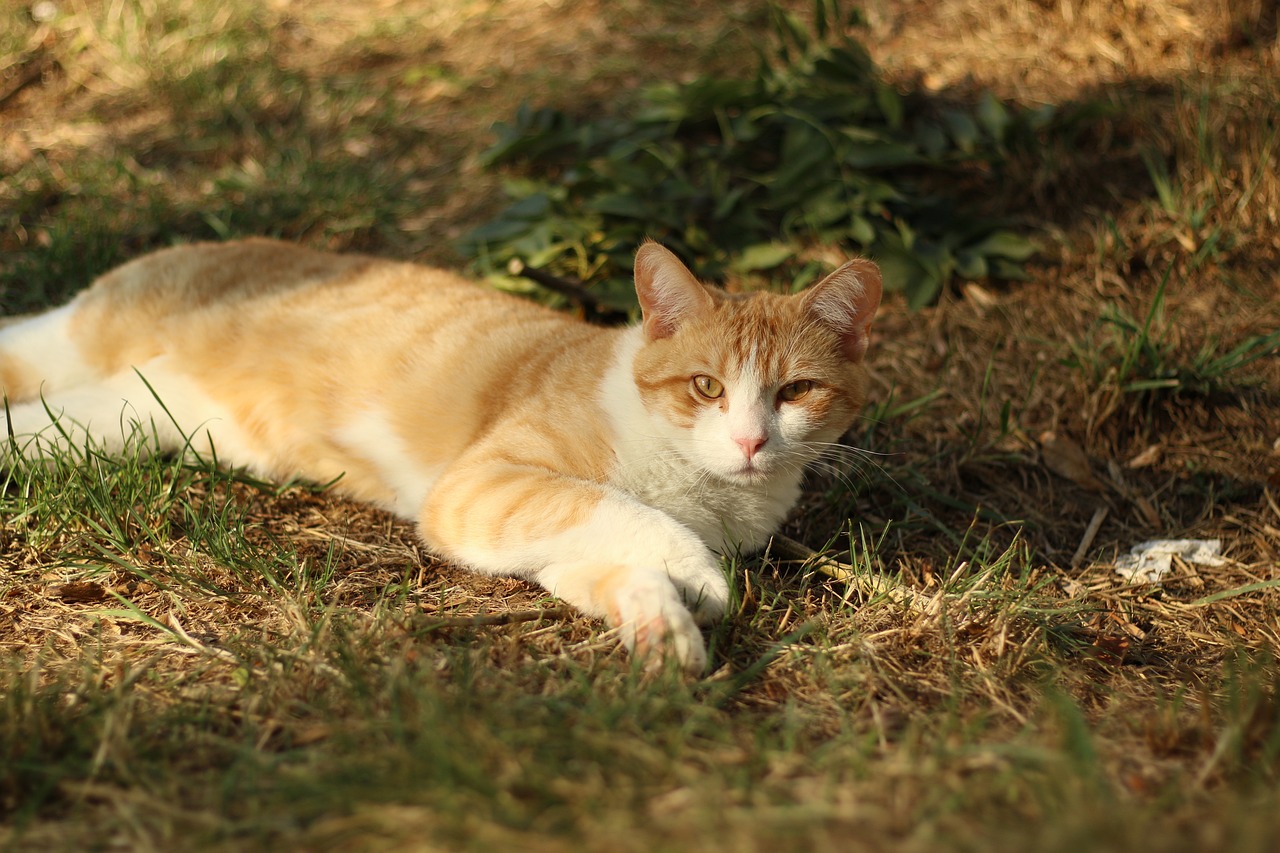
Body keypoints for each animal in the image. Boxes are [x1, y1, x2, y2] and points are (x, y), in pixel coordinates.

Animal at [2, 239, 880, 671]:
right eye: (706, 386)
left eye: (796, 389)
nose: (750, 440)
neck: (704, 489)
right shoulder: (480, 489)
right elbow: (629, 514)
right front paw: (699, 574)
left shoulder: (547, 546)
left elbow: (620, 564)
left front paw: (661, 631)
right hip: (74, 344)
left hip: (119, 418)